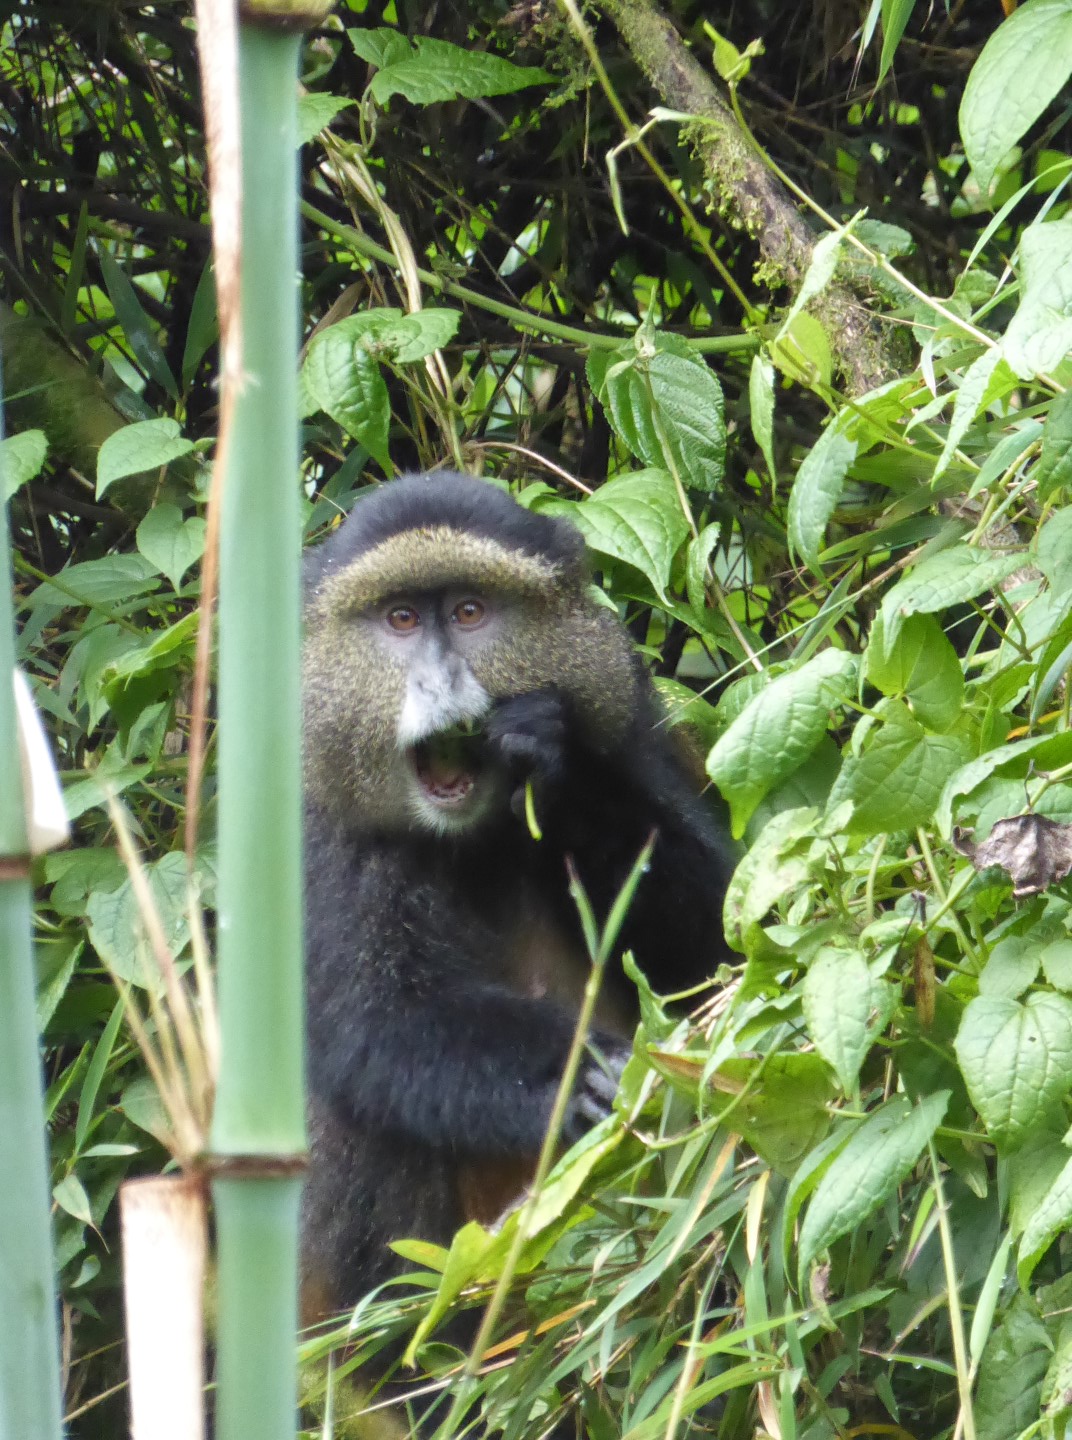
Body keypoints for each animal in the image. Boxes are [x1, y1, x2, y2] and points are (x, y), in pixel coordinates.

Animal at [299, 470, 733, 1331]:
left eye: (469, 612)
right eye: (401, 619)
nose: (440, 684)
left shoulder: (626, 714)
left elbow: (711, 952)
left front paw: (551, 762)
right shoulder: (314, 823)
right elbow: (373, 1024)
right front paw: (578, 1076)